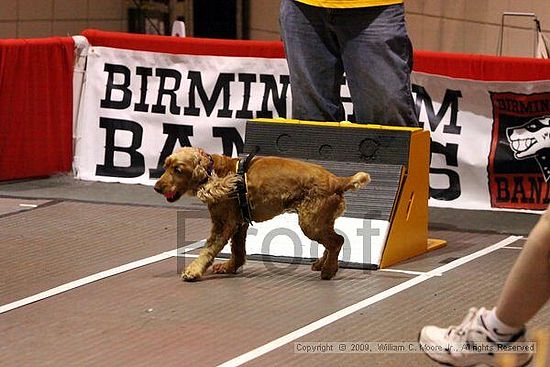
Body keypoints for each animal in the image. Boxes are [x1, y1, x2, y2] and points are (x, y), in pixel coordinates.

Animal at [155, 147, 370, 282]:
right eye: (165, 166)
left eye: (178, 169)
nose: (157, 187)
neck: (214, 172)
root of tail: (337, 181)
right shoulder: (239, 224)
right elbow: (238, 251)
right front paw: (229, 267)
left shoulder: (224, 224)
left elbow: (208, 250)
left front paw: (193, 271)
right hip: (320, 221)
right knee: (332, 240)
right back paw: (321, 264)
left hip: (310, 223)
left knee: (337, 241)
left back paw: (328, 270)